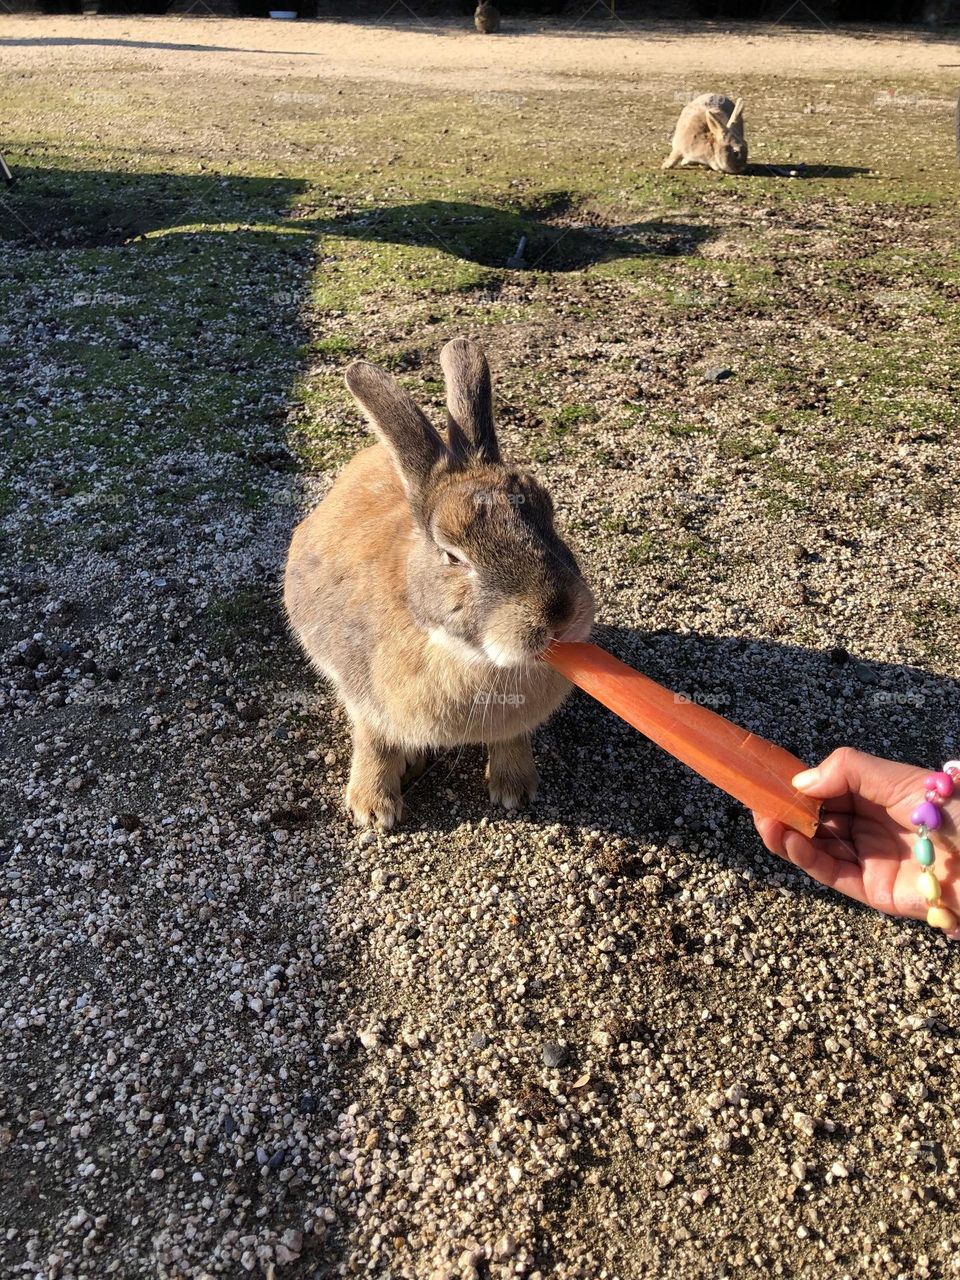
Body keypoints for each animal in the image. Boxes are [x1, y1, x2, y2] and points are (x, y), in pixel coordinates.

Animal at [283, 338, 595, 830]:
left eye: (549, 515)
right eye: (452, 556)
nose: (560, 616)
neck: (469, 656)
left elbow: (513, 739)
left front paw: (515, 789)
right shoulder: (365, 696)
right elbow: (372, 740)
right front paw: (372, 811)